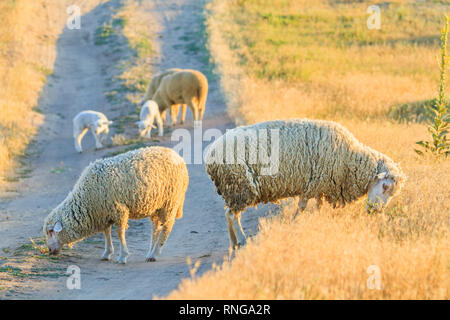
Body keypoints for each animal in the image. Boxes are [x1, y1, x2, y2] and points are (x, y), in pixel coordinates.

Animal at [206, 119, 406, 248]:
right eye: (385, 186)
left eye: (392, 193)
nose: (376, 211)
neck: (349, 158)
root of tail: (210, 154)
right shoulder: (313, 183)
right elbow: (302, 206)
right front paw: (294, 222)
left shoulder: (320, 185)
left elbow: (317, 205)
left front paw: (317, 219)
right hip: (240, 186)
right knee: (233, 215)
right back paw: (242, 239)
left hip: (234, 189)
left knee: (228, 213)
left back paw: (233, 242)